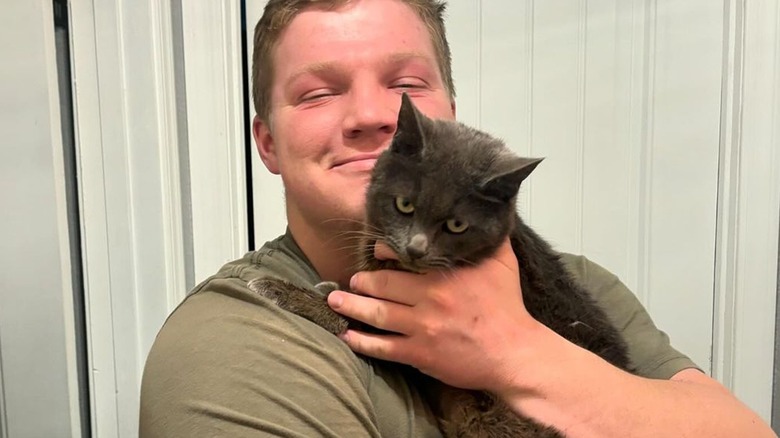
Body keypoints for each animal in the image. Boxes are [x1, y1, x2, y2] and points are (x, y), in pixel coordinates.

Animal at [250, 94, 632, 436]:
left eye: (457, 225)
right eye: (405, 204)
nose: (416, 248)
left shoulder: (404, 326)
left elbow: (349, 309)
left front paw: (283, 291)